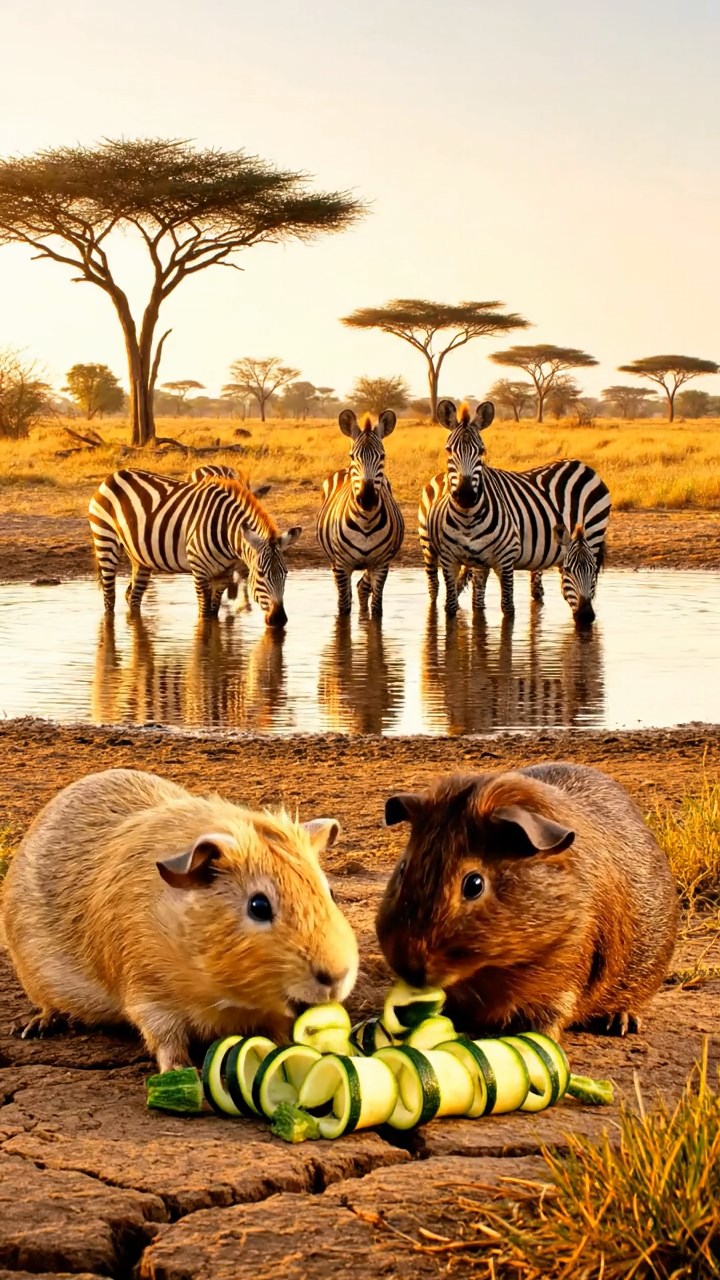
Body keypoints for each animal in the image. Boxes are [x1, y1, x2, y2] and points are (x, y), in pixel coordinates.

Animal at [88, 469, 301, 626]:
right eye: (261, 574)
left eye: (286, 573)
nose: (279, 620)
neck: (226, 531)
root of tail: (113, 475)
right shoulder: (199, 569)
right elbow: (205, 614)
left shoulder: (223, 573)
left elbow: (214, 612)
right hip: (105, 540)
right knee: (109, 597)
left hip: (139, 556)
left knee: (133, 597)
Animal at [317, 409, 405, 616]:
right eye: (352, 456)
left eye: (382, 456)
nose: (367, 499)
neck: (366, 521)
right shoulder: (342, 566)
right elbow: (344, 608)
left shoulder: (381, 565)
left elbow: (377, 608)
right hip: (334, 561)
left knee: (362, 587)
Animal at [418, 399, 607, 623]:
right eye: (448, 450)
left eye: (482, 451)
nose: (465, 495)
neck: (467, 519)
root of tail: (582, 465)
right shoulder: (452, 560)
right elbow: (453, 607)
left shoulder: (505, 559)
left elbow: (507, 609)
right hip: (429, 549)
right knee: (436, 588)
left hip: (593, 536)